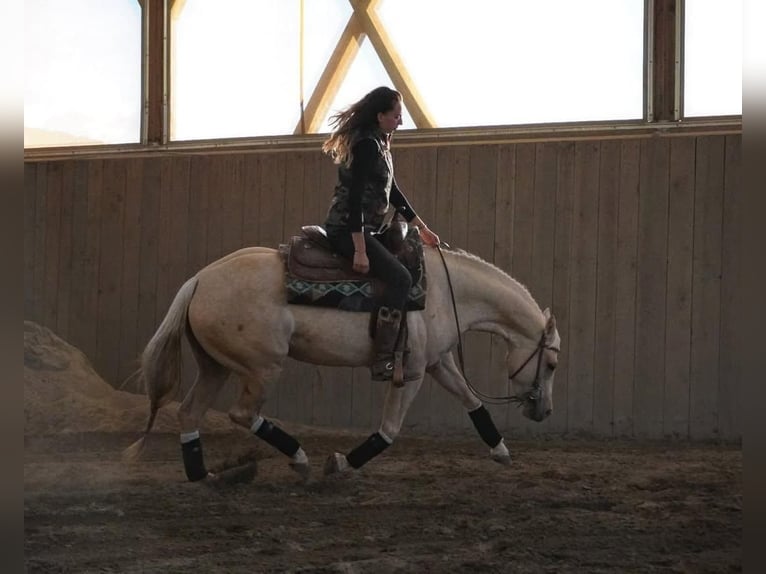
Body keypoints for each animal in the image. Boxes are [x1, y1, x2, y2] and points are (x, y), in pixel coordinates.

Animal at [123, 241, 560, 484]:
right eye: (552, 365)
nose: (543, 410)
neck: (443, 291)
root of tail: (198, 280)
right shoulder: (412, 373)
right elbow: (389, 431)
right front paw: (341, 464)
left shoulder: (439, 363)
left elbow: (474, 403)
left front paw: (500, 450)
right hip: (263, 368)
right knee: (242, 414)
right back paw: (298, 459)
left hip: (217, 366)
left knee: (189, 412)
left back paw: (205, 475)